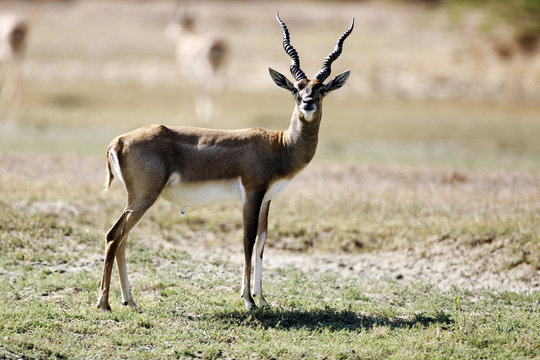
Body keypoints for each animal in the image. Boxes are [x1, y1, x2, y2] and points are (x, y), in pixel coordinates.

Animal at [98, 13, 354, 312]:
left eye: (321, 89)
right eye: (296, 89)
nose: (308, 103)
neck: (280, 146)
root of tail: (118, 140)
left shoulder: (266, 199)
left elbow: (262, 243)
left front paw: (262, 298)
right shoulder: (251, 194)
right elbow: (247, 241)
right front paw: (248, 300)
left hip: (138, 200)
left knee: (122, 239)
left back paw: (129, 301)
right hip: (143, 197)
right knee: (113, 236)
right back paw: (104, 304)